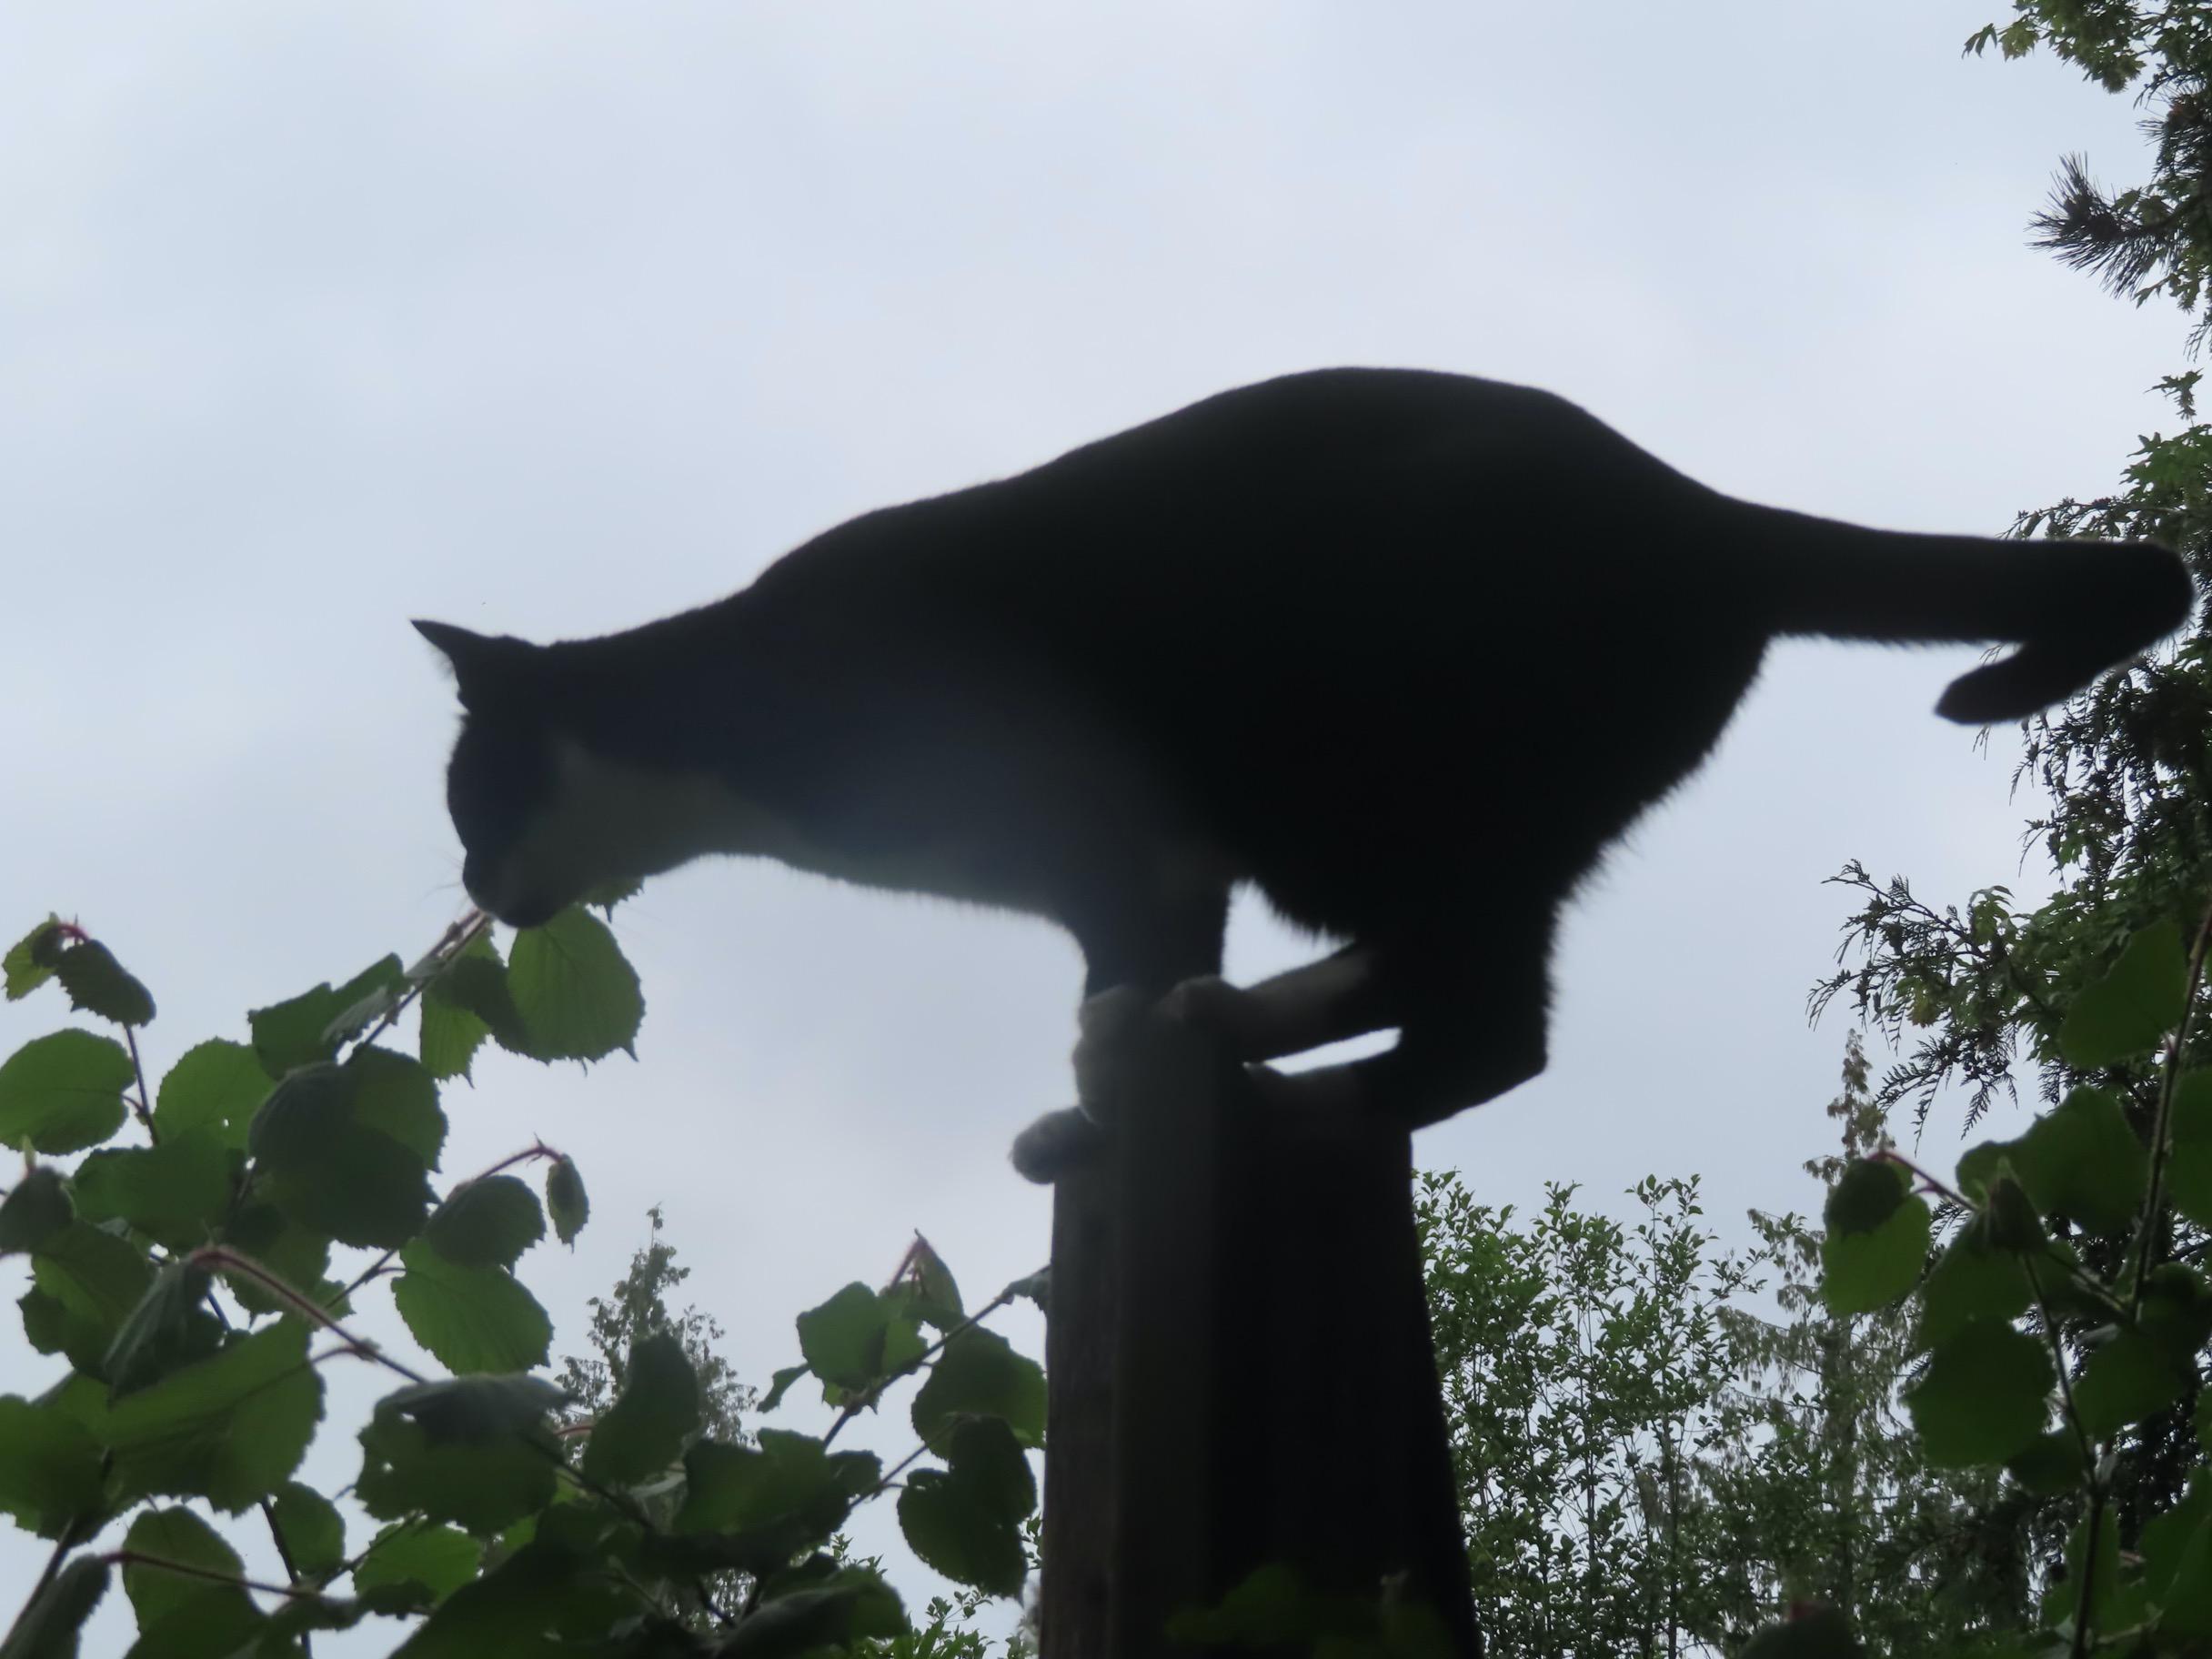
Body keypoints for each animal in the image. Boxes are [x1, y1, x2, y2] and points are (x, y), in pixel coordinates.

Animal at [417, 367, 2192, 1179]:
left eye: (468, 802)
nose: (469, 883)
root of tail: (1700, 512)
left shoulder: (1125, 845)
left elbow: (1124, 972)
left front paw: (1107, 1088)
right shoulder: (1155, 868)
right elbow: (1140, 965)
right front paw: (1104, 1102)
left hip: (1368, 793)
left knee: (1477, 1012)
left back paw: (1265, 1060)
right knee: (1476, 1004)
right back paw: (1254, 1046)